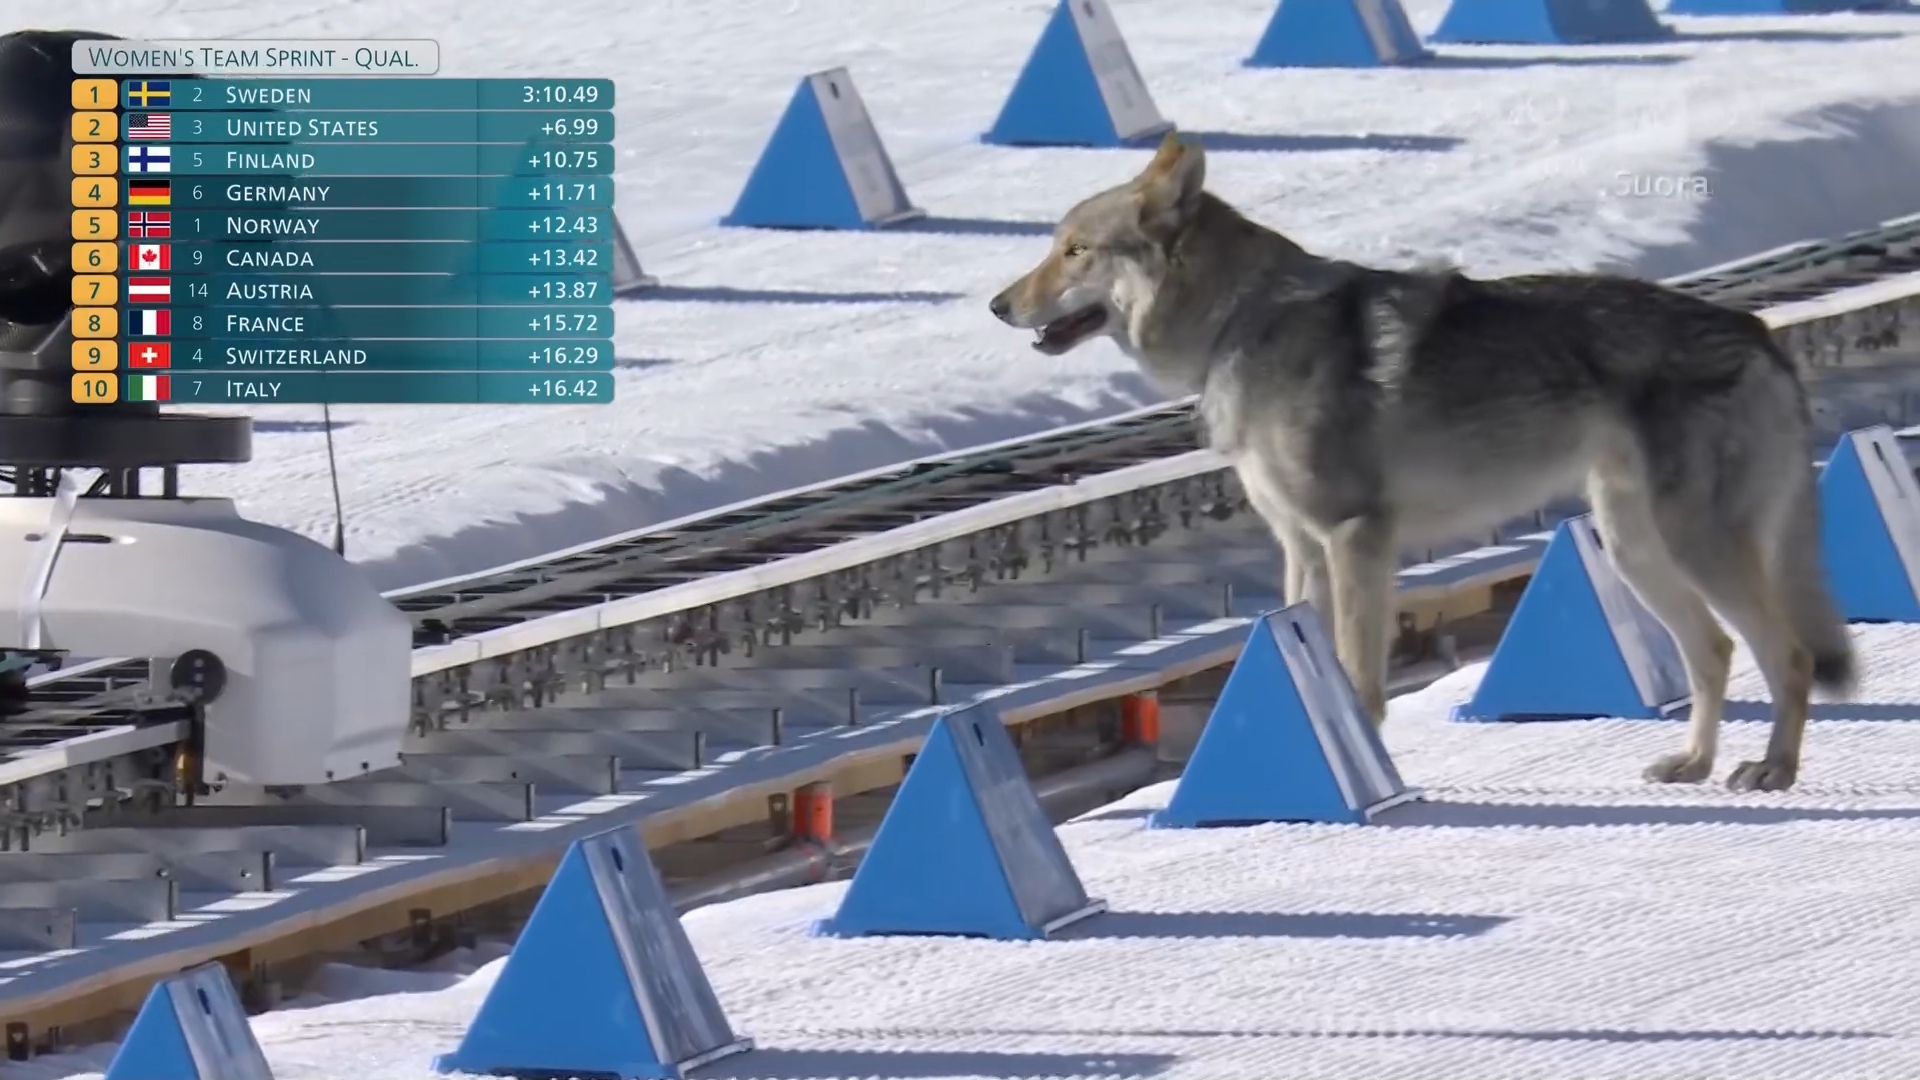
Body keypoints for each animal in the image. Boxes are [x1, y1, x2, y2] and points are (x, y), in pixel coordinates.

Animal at [989, 132, 1856, 792]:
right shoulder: (1302, 550)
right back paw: (1694, 764)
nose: (997, 306)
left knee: (1787, 655)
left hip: (1690, 546)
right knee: (1715, 652)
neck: (1240, 323)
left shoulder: (1355, 539)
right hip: (1635, 546)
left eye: (1074, 252)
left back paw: (1772, 771)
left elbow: (1360, 679)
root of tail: (1757, 331)